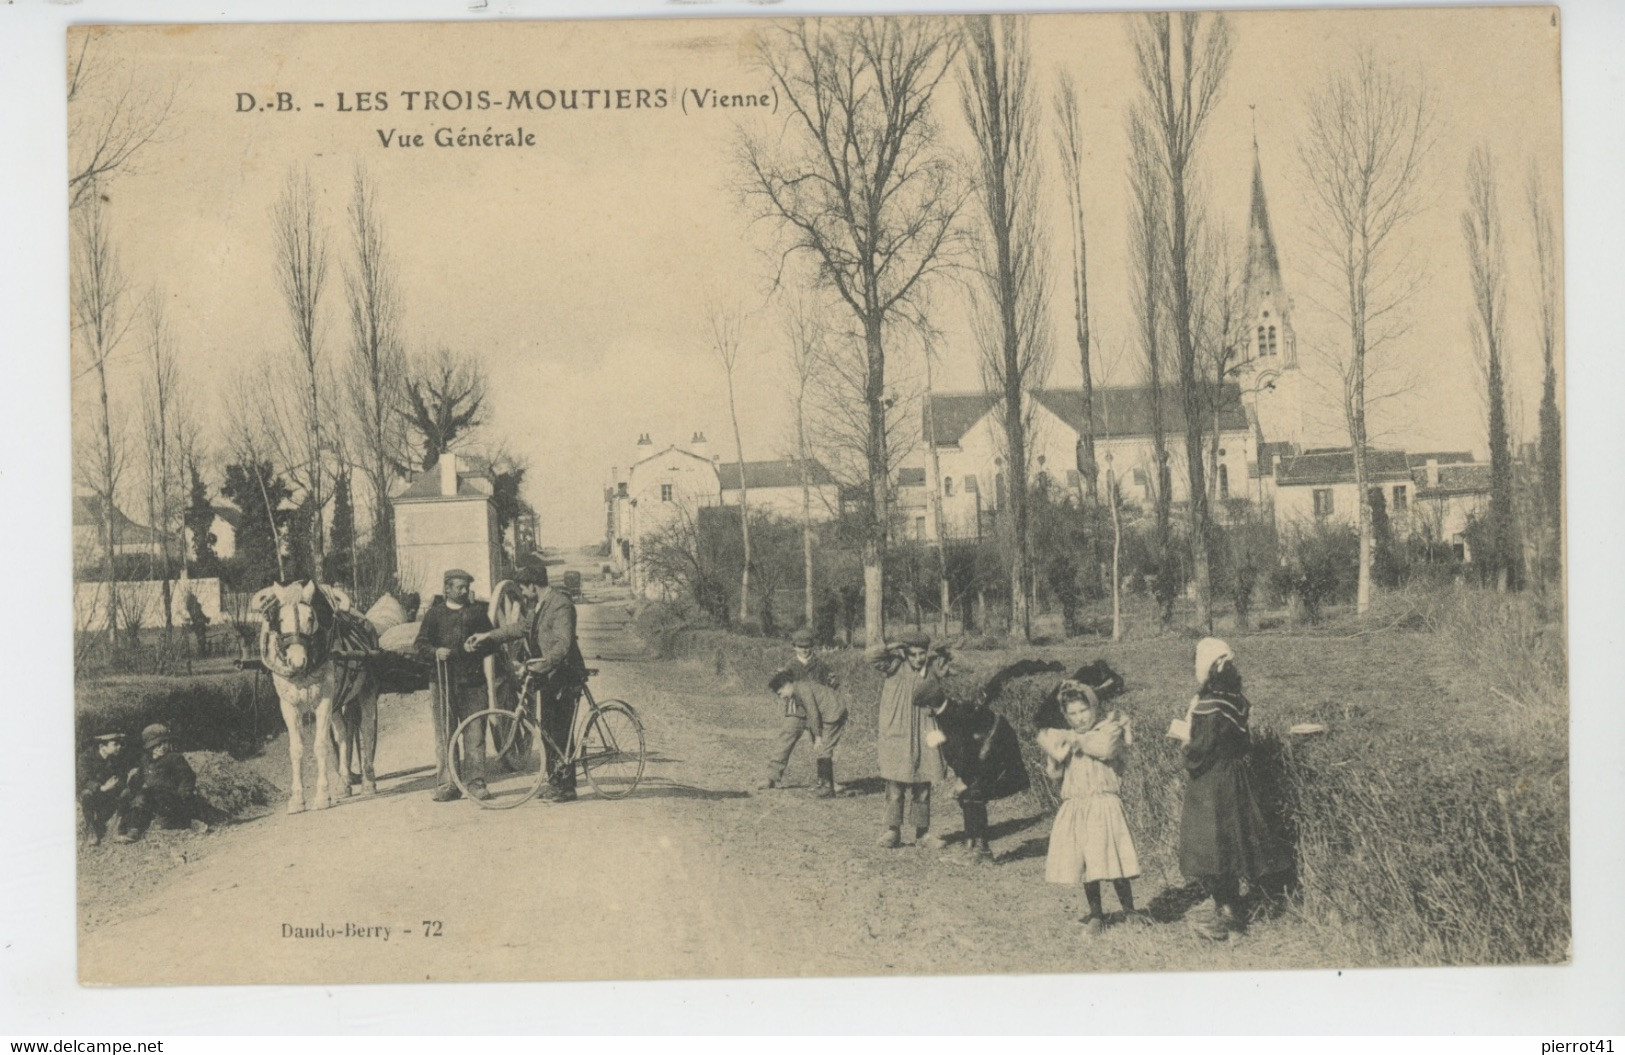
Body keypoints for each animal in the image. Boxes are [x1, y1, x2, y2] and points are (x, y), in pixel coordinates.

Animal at [253, 578, 380, 809]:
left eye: (310, 618)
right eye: (280, 619)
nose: (297, 661)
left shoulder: (324, 702)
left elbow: (320, 746)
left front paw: (322, 796)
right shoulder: (289, 706)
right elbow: (296, 749)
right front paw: (297, 799)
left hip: (367, 691)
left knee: (367, 729)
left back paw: (368, 782)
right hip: (339, 703)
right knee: (343, 734)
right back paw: (344, 783)